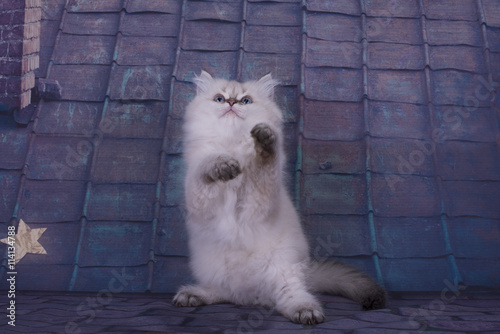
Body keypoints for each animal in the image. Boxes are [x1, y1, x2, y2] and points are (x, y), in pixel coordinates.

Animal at [173, 71, 386, 324]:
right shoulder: (199, 198)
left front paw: (263, 141)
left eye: (246, 101)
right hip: (215, 272)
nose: (232, 103)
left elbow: (265, 161)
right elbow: (207, 165)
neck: (232, 145)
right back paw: (192, 295)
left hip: (284, 271)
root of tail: (248, 295)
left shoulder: (257, 201)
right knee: (224, 293)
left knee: (290, 297)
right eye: (219, 99)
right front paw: (223, 165)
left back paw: (306, 312)